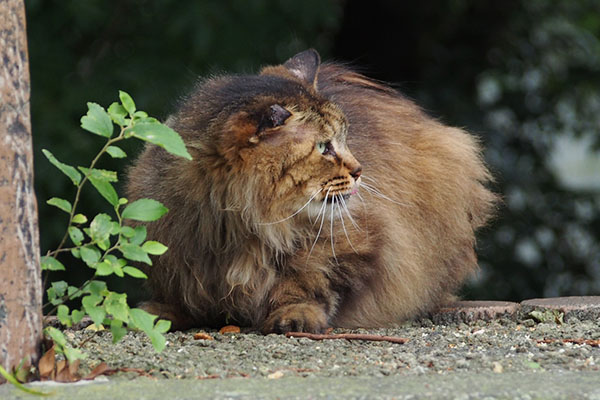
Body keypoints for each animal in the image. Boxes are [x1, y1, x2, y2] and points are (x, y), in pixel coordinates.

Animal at [125, 48, 496, 332]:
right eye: (324, 148)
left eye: (344, 139)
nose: (360, 170)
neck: (235, 226)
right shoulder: (174, 250)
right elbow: (179, 295)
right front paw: (158, 314)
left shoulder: (357, 245)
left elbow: (305, 284)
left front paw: (295, 314)